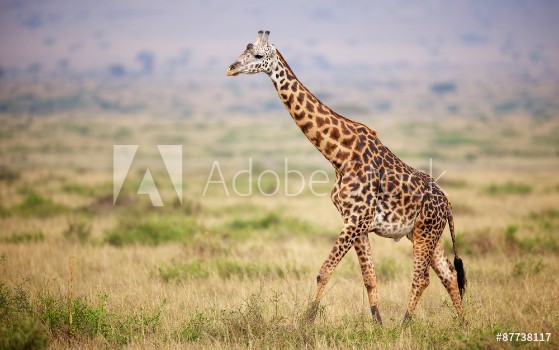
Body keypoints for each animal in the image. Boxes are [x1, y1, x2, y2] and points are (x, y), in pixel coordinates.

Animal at [225, 30, 466, 326]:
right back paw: (464, 325)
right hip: (423, 233)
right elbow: (369, 277)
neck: (340, 155)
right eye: (243, 50)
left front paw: (306, 322)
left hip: (425, 233)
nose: (231, 68)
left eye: (258, 55)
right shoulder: (356, 223)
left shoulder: (355, 220)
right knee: (449, 273)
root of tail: (448, 204)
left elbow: (324, 271)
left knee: (422, 278)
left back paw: (404, 324)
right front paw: (377, 325)